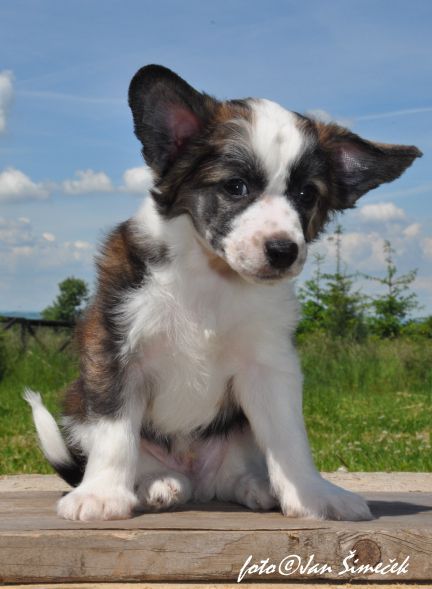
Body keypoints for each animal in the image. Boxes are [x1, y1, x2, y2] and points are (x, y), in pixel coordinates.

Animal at [25, 64, 421, 521]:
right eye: (235, 187)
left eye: (306, 195)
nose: (283, 251)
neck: (211, 279)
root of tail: (196, 478)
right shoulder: (115, 348)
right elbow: (114, 431)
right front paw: (102, 493)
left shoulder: (269, 367)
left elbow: (290, 439)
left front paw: (311, 494)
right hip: (76, 404)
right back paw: (157, 484)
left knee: (235, 473)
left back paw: (257, 487)